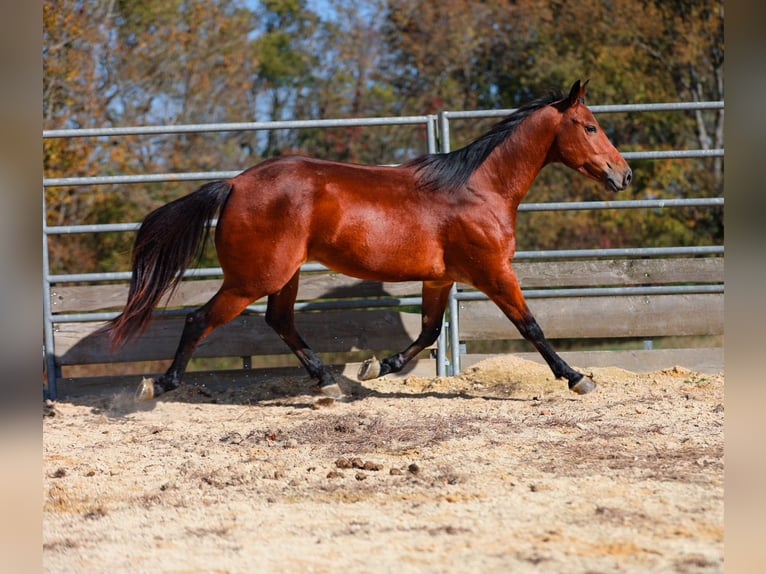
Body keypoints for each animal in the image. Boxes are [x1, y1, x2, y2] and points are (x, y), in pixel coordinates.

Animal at [105, 80, 632, 401]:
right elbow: (532, 327)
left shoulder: (441, 279)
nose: (623, 174)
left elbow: (429, 332)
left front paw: (376, 367)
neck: (479, 188)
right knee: (200, 319)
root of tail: (234, 184)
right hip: (253, 278)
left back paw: (330, 384)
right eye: (590, 126)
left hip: (283, 275)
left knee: (281, 321)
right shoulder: (493, 272)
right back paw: (159, 385)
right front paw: (577, 378)